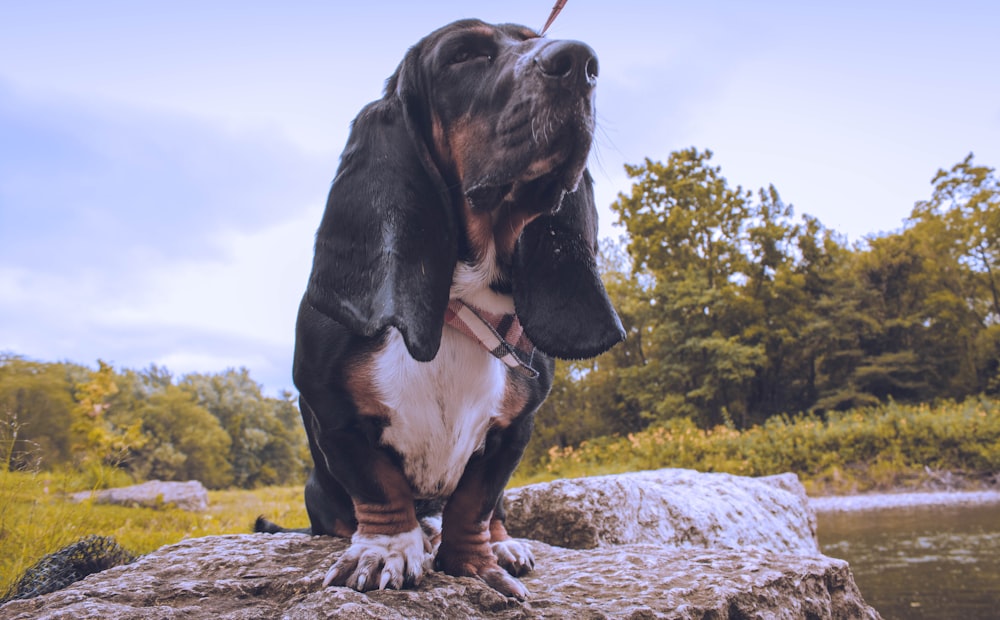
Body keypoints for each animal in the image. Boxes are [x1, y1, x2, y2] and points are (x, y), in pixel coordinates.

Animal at [260, 20, 624, 600]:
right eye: (463, 55)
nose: (582, 62)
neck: (461, 301)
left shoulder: (513, 430)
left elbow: (476, 503)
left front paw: (476, 565)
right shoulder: (332, 411)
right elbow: (378, 486)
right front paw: (384, 552)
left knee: (491, 512)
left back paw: (502, 544)